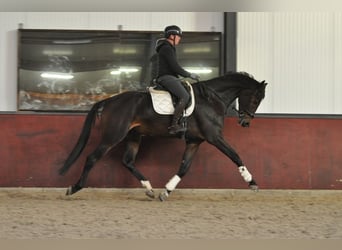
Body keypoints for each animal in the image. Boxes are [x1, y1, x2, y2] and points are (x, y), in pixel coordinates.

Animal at [58, 72, 268, 201]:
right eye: (256, 98)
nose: (246, 122)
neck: (211, 99)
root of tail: (109, 100)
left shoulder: (194, 141)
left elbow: (184, 167)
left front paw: (166, 191)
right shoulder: (214, 137)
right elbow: (235, 155)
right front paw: (252, 183)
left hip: (134, 136)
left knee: (127, 161)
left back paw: (150, 189)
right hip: (113, 136)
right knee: (92, 157)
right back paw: (74, 187)